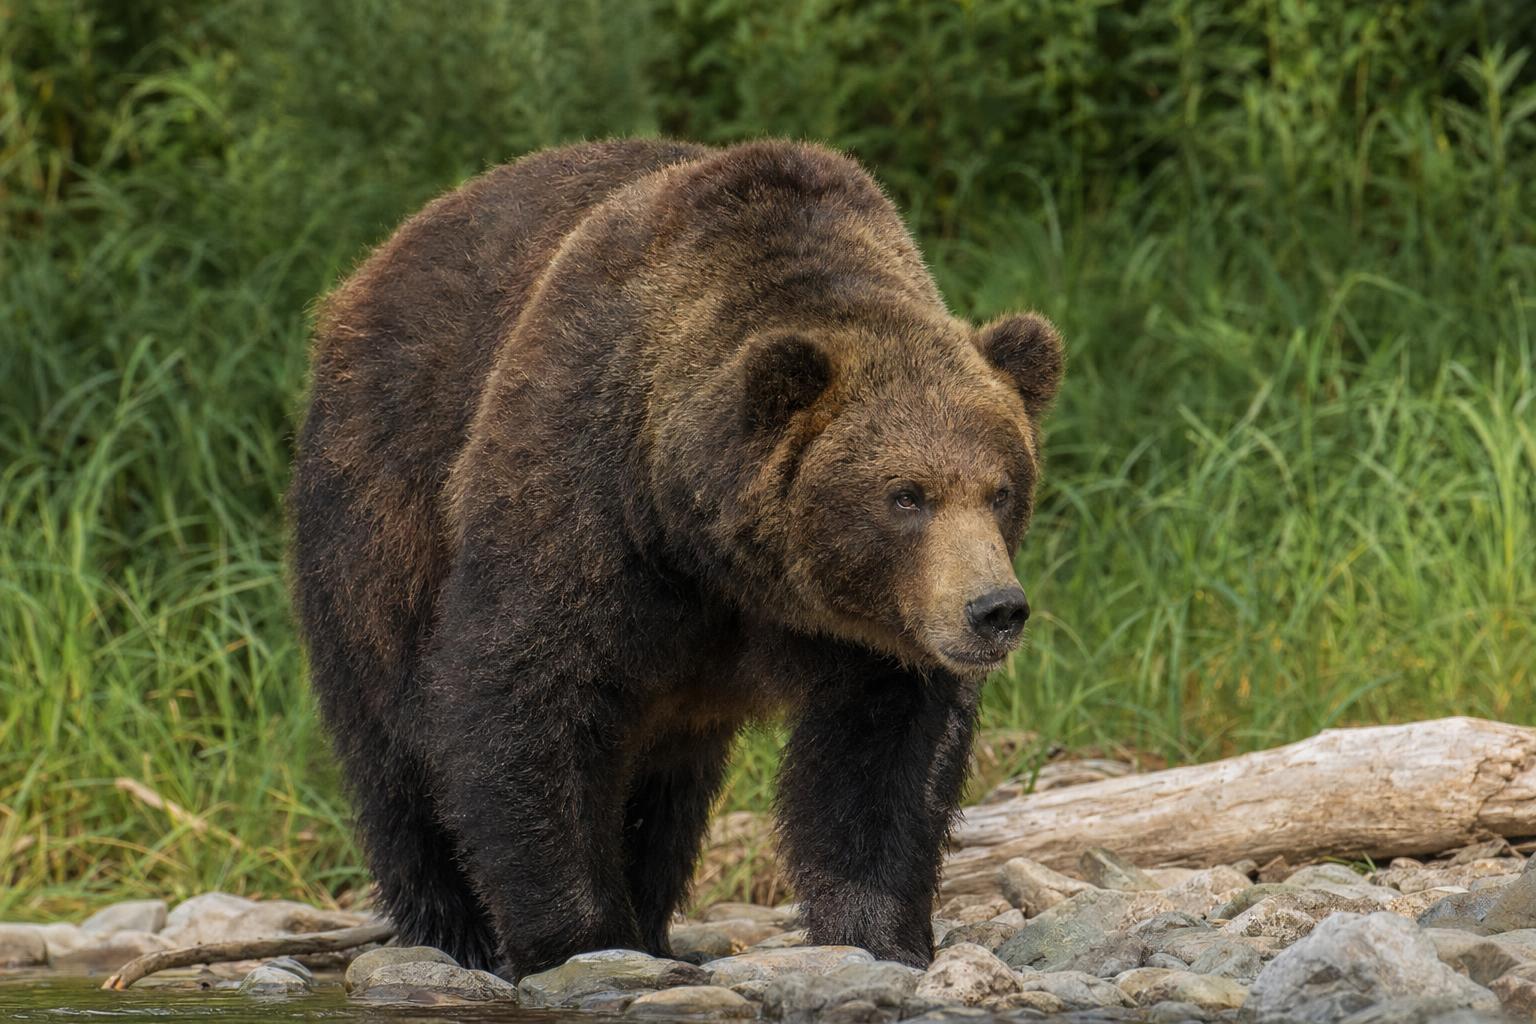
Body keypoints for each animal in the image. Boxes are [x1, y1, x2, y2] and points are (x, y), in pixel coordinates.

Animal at [288, 138, 1063, 979]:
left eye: (1000, 490)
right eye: (907, 494)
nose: (993, 609)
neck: (715, 556)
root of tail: (367, 271)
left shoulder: (874, 637)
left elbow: (884, 760)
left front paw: (880, 932)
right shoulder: (585, 490)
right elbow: (522, 695)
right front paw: (577, 939)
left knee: (666, 789)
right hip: (374, 513)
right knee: (392, 746)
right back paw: (452, 930)